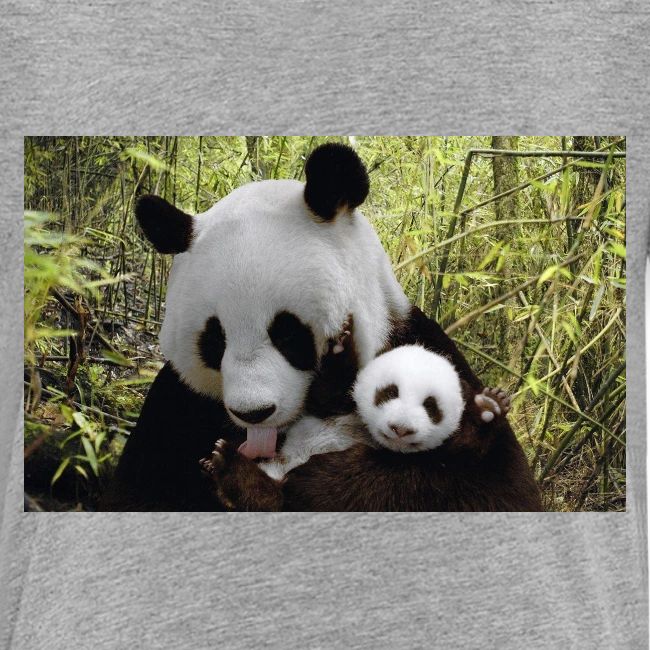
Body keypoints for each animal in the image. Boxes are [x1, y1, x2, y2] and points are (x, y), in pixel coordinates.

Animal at [102, 143, 541, 512]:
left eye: (288, 334)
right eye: (215, 340)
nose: (254, 413)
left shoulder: (421, 347)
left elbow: (491, 488)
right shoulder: (179, 405)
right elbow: (138, 492)